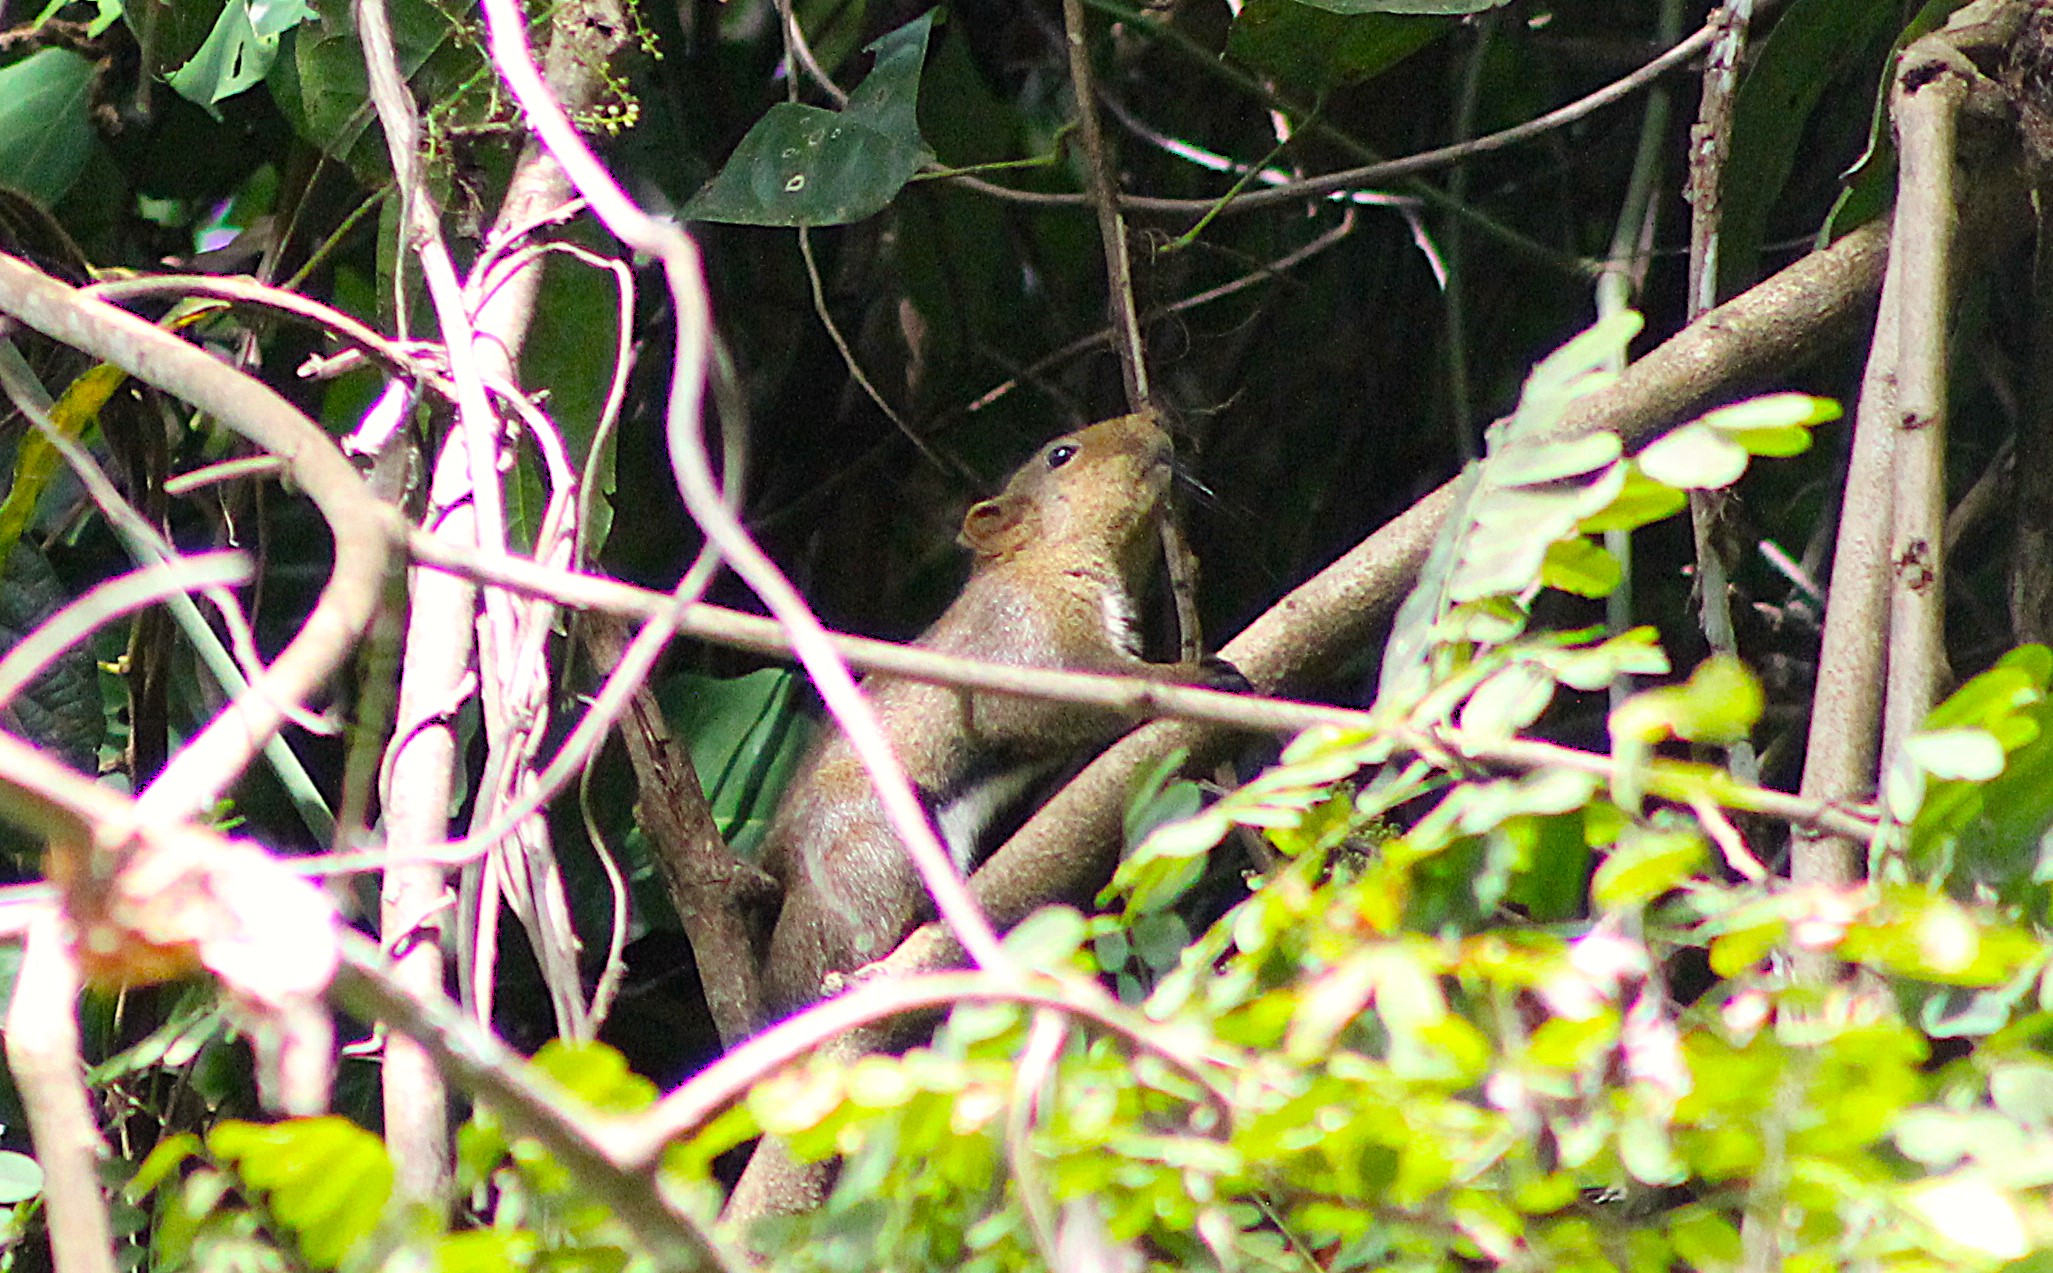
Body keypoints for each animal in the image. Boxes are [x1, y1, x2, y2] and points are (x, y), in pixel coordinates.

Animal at [756, 410, 1233, 1021]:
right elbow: (1069, 698)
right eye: (1060, 454)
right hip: (870, 838)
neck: (1042, 560)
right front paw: (1193, 674)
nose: (1155, 415)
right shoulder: (1017, 637)